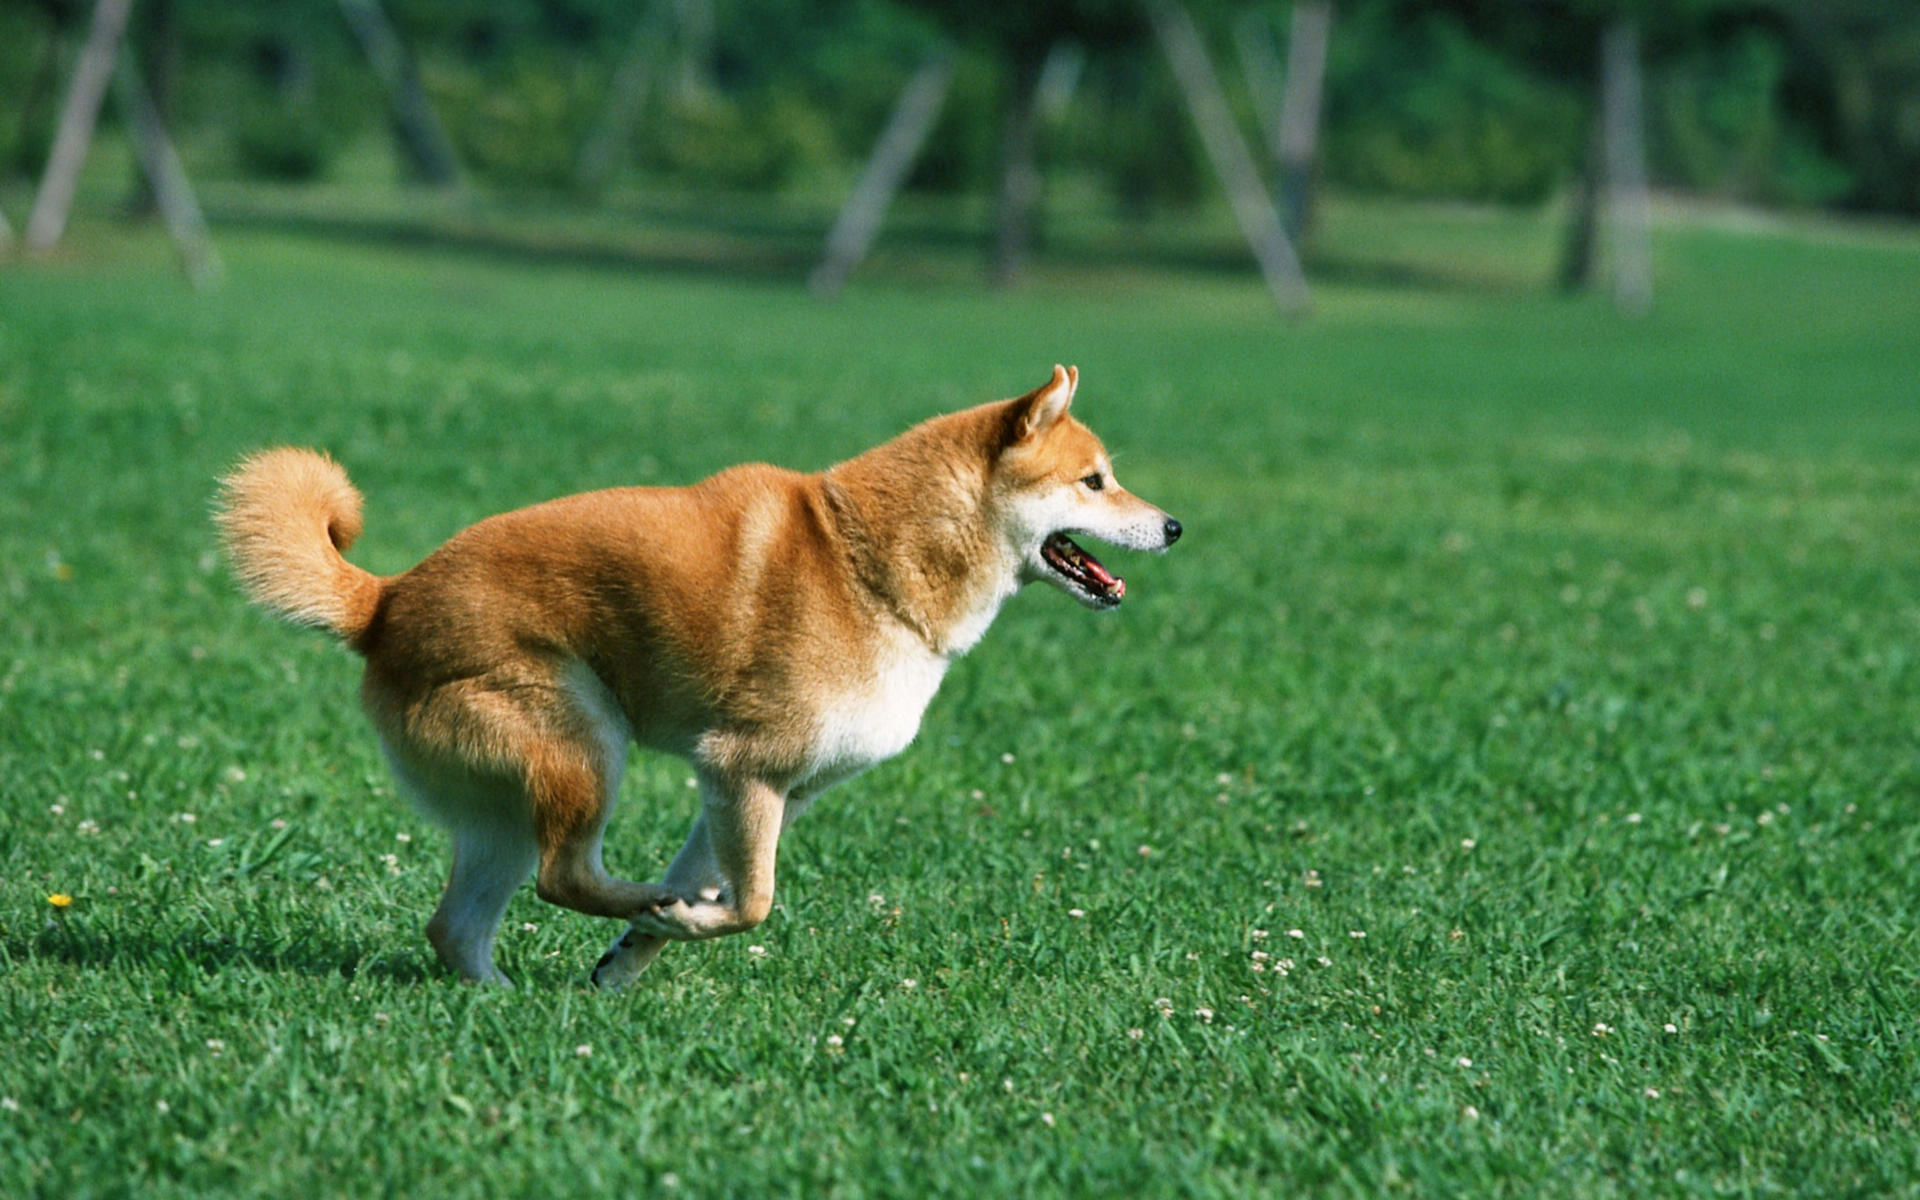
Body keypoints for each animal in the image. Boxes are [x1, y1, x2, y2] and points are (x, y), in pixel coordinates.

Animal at [224, 364, 1182, 983]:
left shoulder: (757, 789)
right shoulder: (743, 766)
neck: (871, 562)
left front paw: (637, 952)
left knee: (457, 926)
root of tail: (384, 601)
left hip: (505, 804)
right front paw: (669, 917)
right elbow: (752, 902)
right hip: (584, 741)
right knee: (562, 876)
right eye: (1096, 482)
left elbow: (711, 882)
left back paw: (507, 996)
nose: (1173, 526)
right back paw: (626, 901)